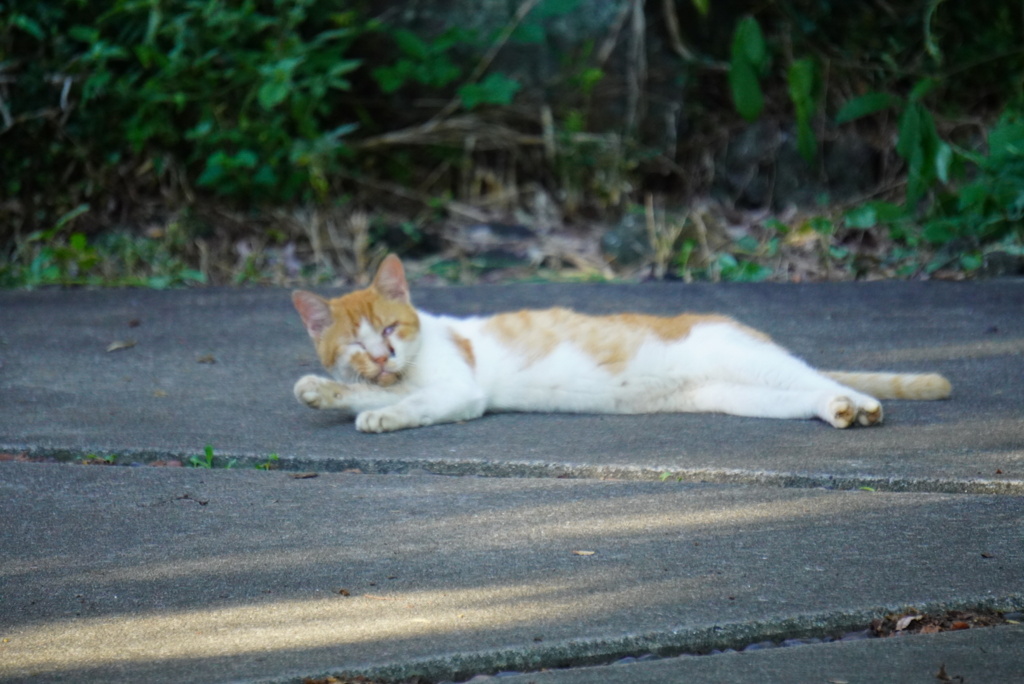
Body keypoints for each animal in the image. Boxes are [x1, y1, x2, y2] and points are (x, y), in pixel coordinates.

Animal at [290, 253, 950, 436]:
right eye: (357, 344)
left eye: (391, 329)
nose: (383, 357)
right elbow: (361, 393)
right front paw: (324, 391)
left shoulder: (459, 389)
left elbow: (415, 403)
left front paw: (383, 415)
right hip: (742, 395)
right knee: (803, 395)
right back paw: (837, 411)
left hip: (748, 359)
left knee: (822, 377)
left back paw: (858, 405)